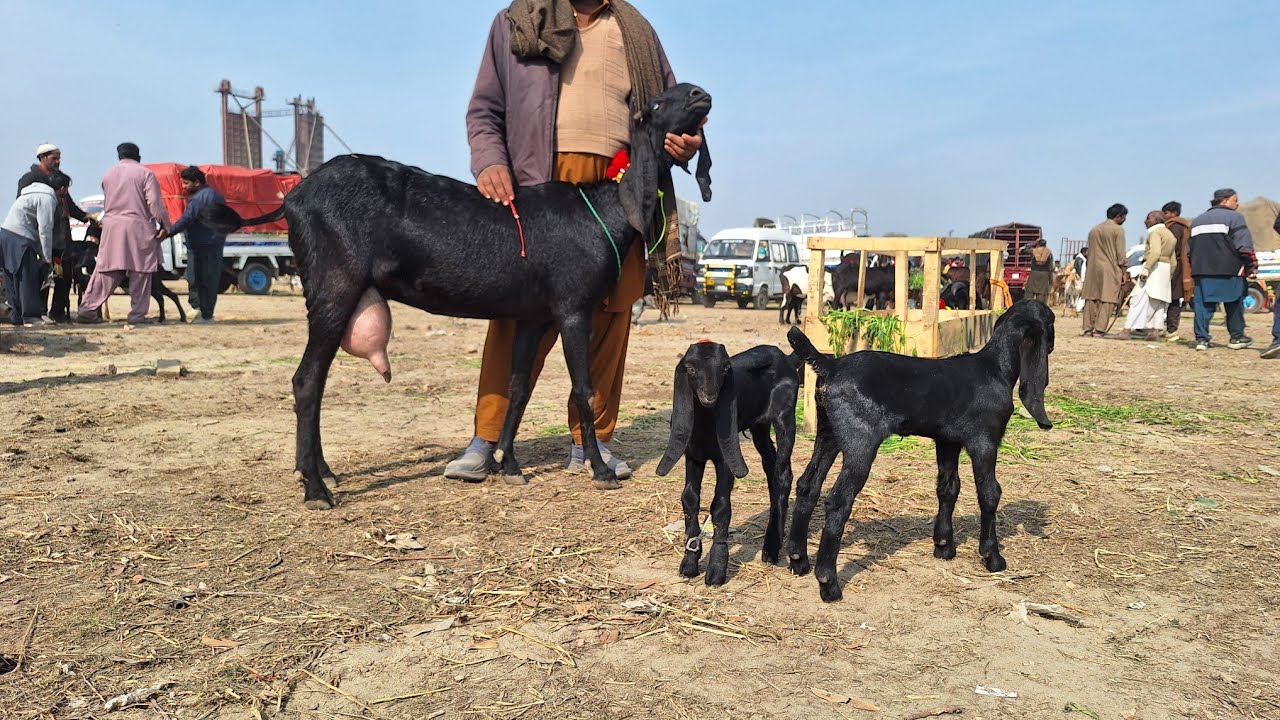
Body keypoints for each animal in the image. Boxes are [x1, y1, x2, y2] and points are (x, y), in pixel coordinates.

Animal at [206, 83, 713, 509]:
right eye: (656, 104)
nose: (699, 93)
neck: (601, 211)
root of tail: (293, 197)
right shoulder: (573, 308)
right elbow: (584, 390)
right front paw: (601, 471)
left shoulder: (533, 315)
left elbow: (518, 387)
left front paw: (508, 465)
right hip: (335, 285)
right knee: (307, 380)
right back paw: (315, 488)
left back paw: (321, 472)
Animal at [656, 342, 799, 585]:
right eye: (690, 368)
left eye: (724, 368)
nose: (709, 395)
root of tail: (785, 357)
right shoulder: (693, 456)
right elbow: (689, 498)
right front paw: (689, 563)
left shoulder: (726, 458)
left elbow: (721, 505)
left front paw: (716, 569)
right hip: (759, 426)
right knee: (771, 468)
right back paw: (773, 540)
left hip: (785, 416)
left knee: (783, 474)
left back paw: (771, 549)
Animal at [785, 300, 1055, 602]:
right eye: (1051, 321)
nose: (1052, 344)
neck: (995, 367)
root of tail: (831, 366)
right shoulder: (984, 441)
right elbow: (989, 493)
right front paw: (992, 557)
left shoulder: (947, 441)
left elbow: (948, 488)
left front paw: (944, 546)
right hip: (859, 442)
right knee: (837, 500)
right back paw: (828, 582)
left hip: (829, 434)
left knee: (808, 485)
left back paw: (798, 559)